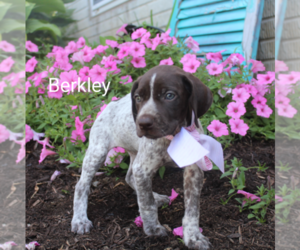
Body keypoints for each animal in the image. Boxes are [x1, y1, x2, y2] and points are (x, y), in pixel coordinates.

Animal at [71, 65, 213, 250]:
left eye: (169, 95)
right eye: (138, 98)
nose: (143, 123)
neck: (174, 136)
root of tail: (110, 104)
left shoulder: (193, 171)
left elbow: (192, 209)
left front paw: (193, 236)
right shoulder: (143, 169)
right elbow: (146, 203)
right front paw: (152, 229)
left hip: (135, 153)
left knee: (129, 177)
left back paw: (157, 196)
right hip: (97, 152)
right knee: (81, 185)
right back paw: (80, 219)